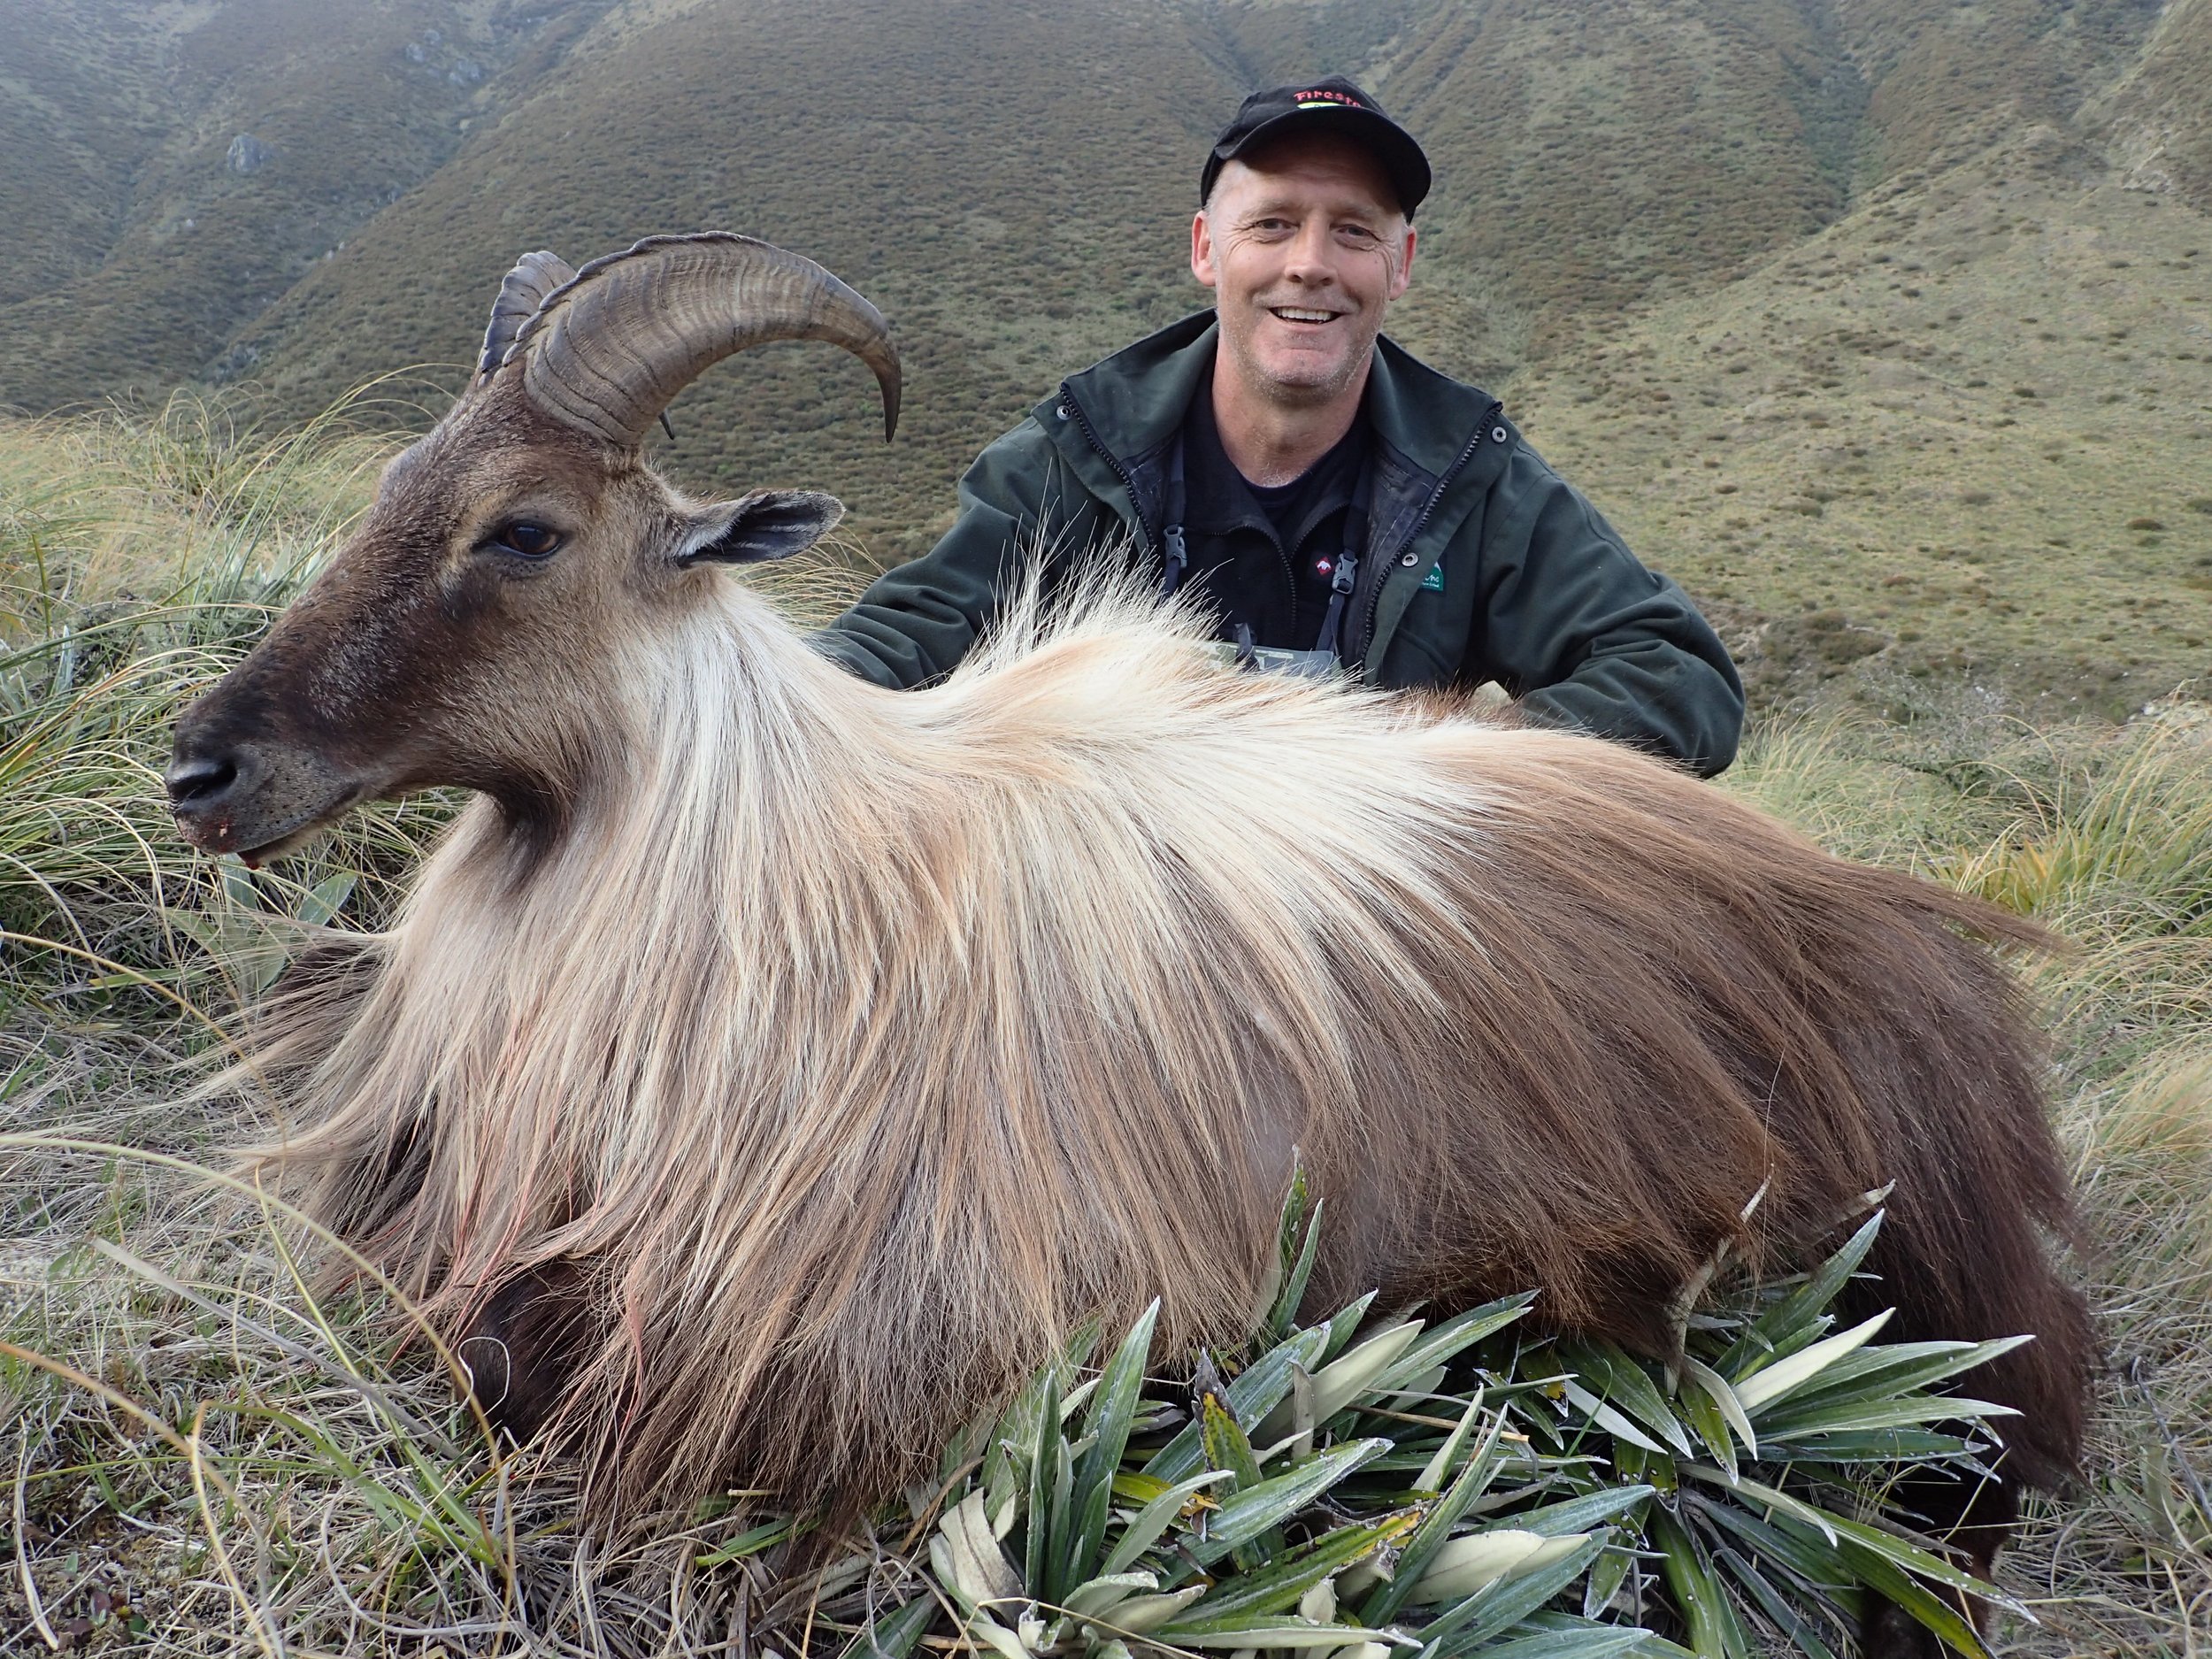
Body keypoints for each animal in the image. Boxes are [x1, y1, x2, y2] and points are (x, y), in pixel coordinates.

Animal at [167, 235, 2092, 1656]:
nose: (205, 765)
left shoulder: (900, 1339)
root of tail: (1933, 960)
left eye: (525, 531)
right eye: (395, 479)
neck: (774, 883)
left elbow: (506, 1361)